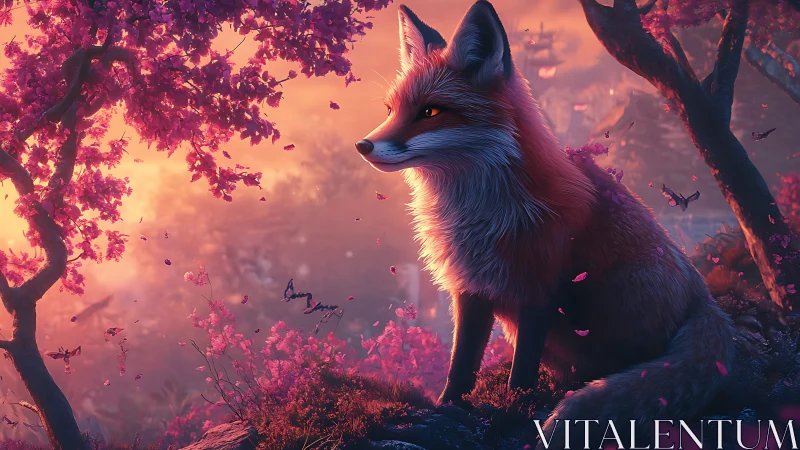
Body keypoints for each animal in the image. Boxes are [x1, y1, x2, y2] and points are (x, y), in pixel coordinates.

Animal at [355, 1, 734, 448]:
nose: (363, 145)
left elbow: (521, 370)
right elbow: (461, 362)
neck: (479, 217)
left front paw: (512, 410)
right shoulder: (471, 286)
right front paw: (448, 408)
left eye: (429, 111)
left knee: (635, 364)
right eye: (391, 110)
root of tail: (704, 295)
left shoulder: (540, 286)